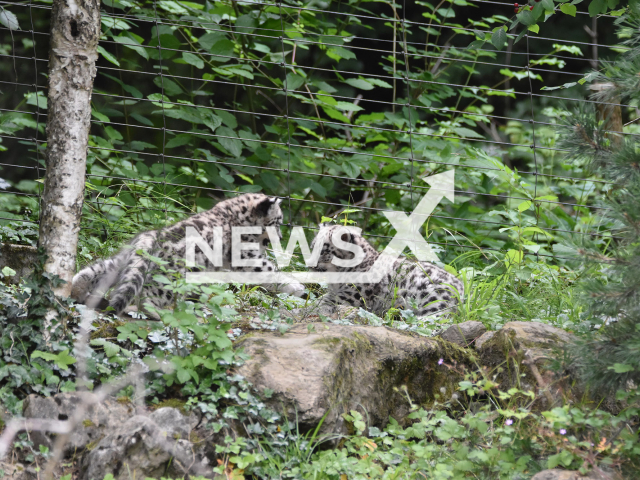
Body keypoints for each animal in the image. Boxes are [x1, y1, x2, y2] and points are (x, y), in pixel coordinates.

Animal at [71, 193, 306, 316]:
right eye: (277, 221)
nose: (280, 236)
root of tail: (149, 236)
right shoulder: (249, 257)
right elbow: (270, 270)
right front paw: (297, 287)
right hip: (170, 277)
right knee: (149, 294)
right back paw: (156, 313)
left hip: (120, 264)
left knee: (95, 271)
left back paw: (78, 291)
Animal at [308, 223, 462, 316]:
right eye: (312, 246)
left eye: (323, 250)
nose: (309, 264)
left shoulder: (353, 295)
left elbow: (326, 300)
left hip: (432, 300)